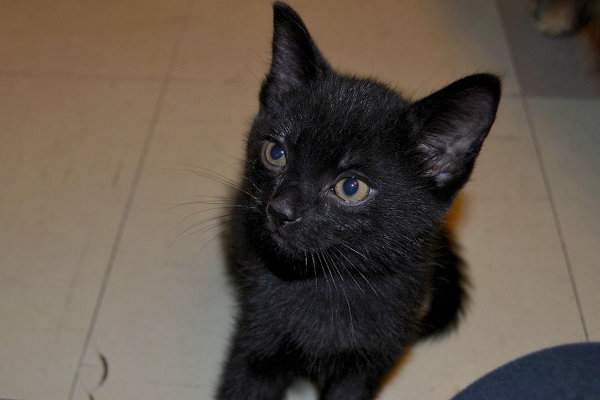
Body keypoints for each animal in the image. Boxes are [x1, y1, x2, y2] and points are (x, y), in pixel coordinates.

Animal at [218, 3, 500, 400]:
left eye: (351, 187)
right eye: (275, 152)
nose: (280, 209)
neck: (330, 283)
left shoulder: (370, 361)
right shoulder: (256, 345)